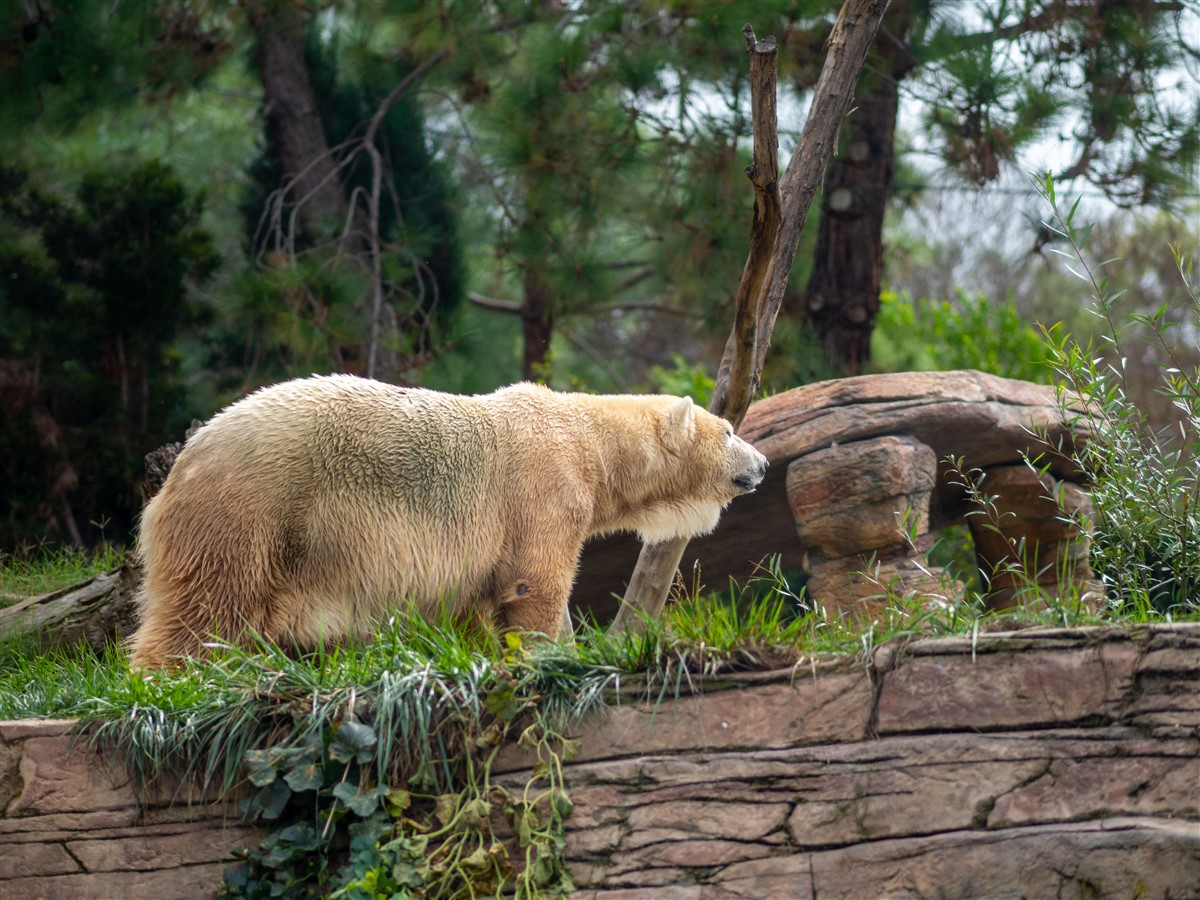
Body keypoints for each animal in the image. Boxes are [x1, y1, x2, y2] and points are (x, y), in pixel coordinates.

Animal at [129, 374, 768, 672]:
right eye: (729, 431)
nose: (762, 464)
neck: (585, 439)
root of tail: (182, 464)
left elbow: (477, 607)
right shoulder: (543, 491)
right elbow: (535, 581)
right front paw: (553, 652)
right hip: (254, 509)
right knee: (209, 605)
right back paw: (173, 678)